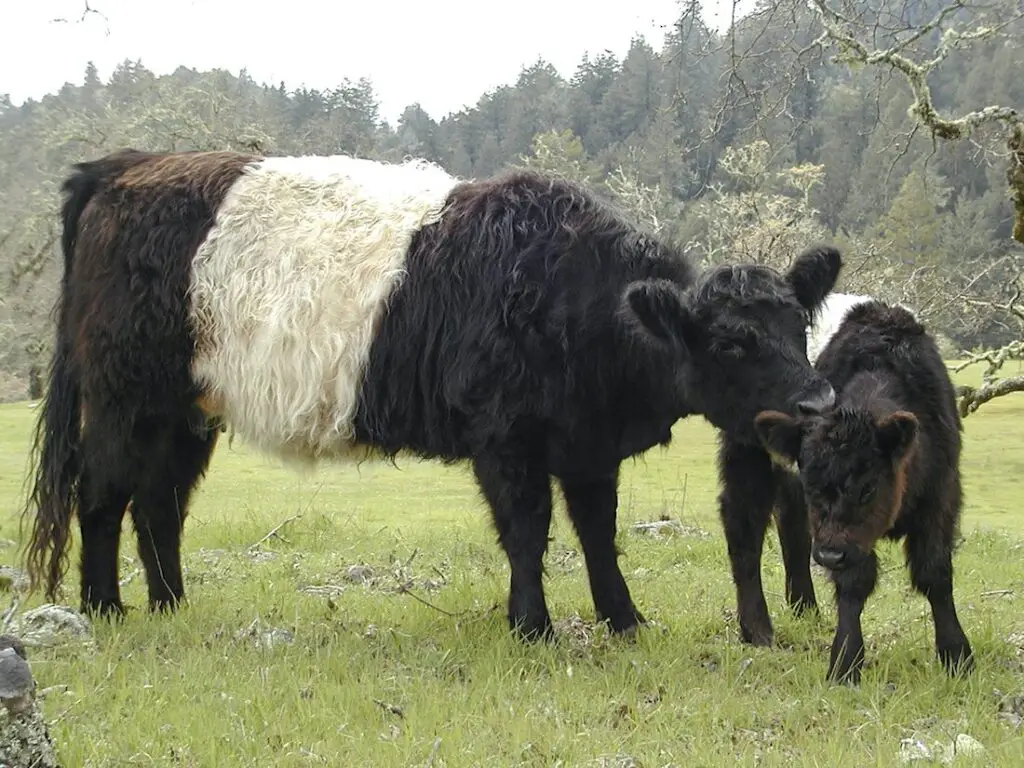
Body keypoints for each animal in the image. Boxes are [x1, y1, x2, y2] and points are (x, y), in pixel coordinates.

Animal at [22, 150, 839, 643]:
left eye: (800, 325)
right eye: (732, 344)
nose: (817, 404)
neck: (569, 288)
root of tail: (129, 164)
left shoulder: (585, 444)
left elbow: (597, 533)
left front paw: (624, 620)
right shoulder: (504, 435)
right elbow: (527, 530)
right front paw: (532, 628)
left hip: (187, 410)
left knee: (158, 501)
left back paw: (171, 605)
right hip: (126, 395)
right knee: (103, 493)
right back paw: (105, 608)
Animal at [749, 296, 970, 684]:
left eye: (868, 489)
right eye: (811, 486)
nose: (828, 556)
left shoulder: (941, 497)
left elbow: (935, 573)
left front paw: (956, 655)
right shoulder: (842, 536)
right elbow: (853, 583)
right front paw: (846, 661)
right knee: (788, 530)